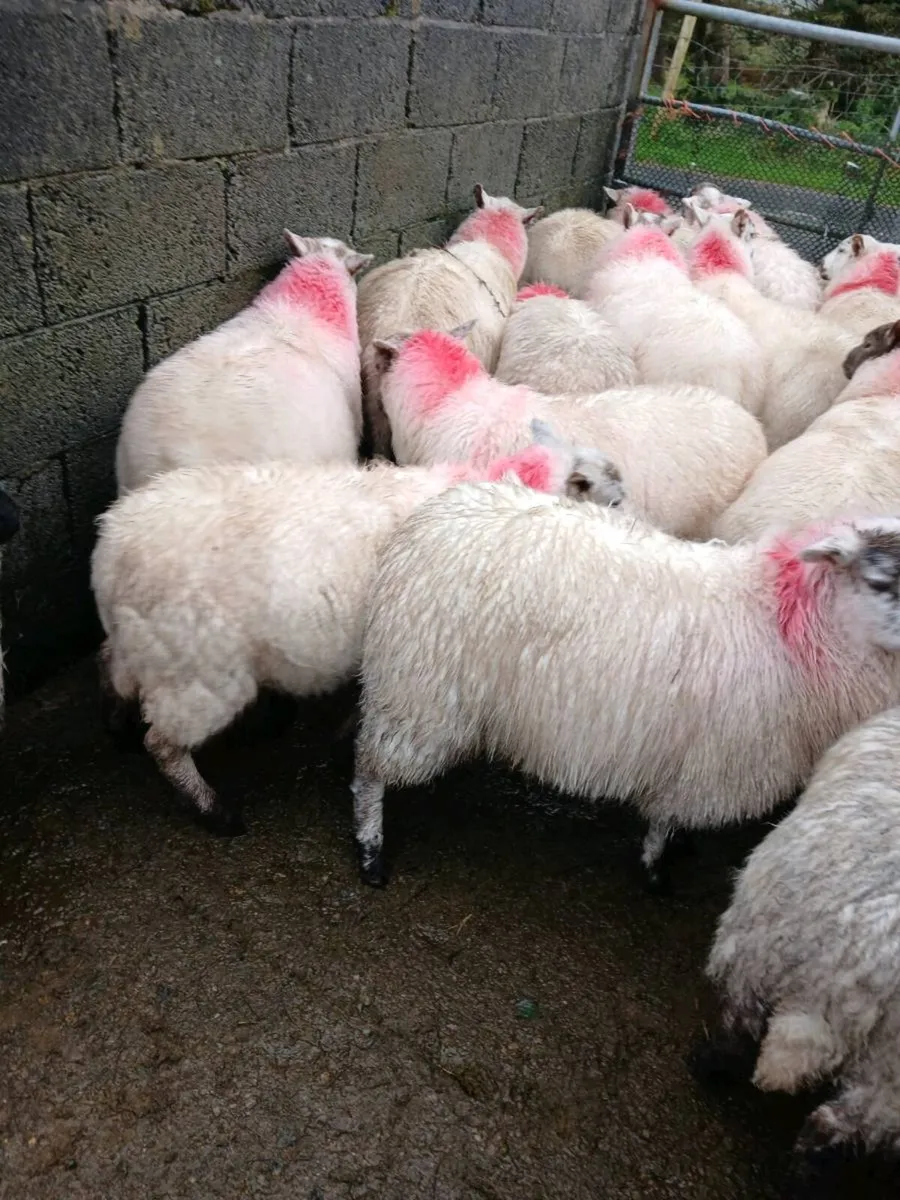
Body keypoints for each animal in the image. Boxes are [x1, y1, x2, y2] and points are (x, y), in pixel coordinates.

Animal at [91, 430, 622, 834]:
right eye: (604, 493)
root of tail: (111, 550)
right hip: (199, 672)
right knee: (164, 744)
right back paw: (213, 810)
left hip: (147, 648)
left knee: (110, 669)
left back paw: (118, 727)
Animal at [350, 493, 900, 889]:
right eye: (879, 581)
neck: (782, 620)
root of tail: (424, 524)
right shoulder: (708, 763)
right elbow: (665, 820)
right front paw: (656, 867)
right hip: (420, 697)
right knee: (370, 768)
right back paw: (371, 849)